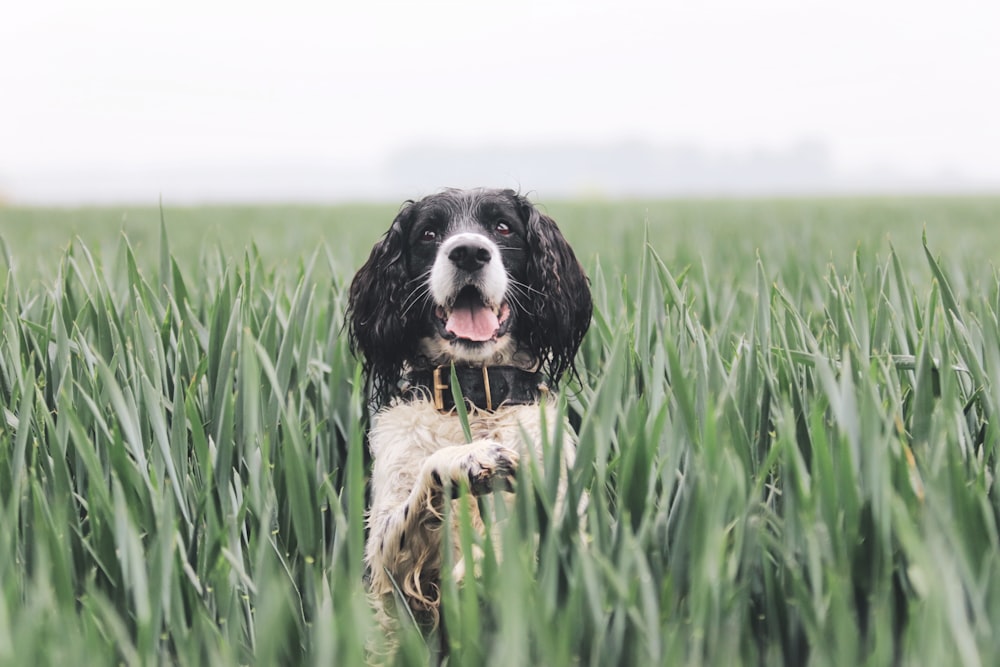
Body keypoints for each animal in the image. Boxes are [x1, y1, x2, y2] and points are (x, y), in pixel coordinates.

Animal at [346, 188, 588, 640]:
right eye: (428, 233)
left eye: (503, 227)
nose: (469, 253)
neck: (475, 396)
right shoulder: (388, 568)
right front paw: (469, 460)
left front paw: (483, 565)